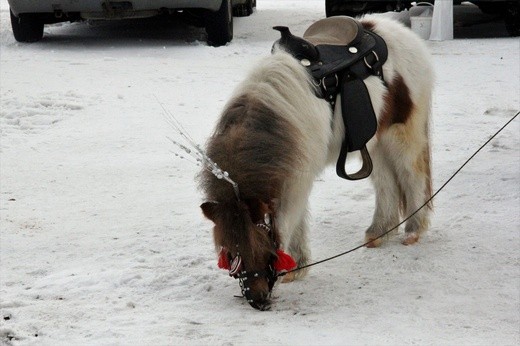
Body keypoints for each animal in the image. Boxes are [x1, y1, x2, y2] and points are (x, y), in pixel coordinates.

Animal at [199, 14, 434, 310]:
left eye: (261, 242)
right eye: (229, 251)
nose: (257, 300)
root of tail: (399, 31)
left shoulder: (298, 181)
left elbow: (288, 221)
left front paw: (294, 268)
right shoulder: (290, 179)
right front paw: (297, 268)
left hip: (402, 136)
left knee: (412, 177)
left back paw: (413, 231)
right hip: (376, 142)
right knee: (386, 185)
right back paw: (378, 232)